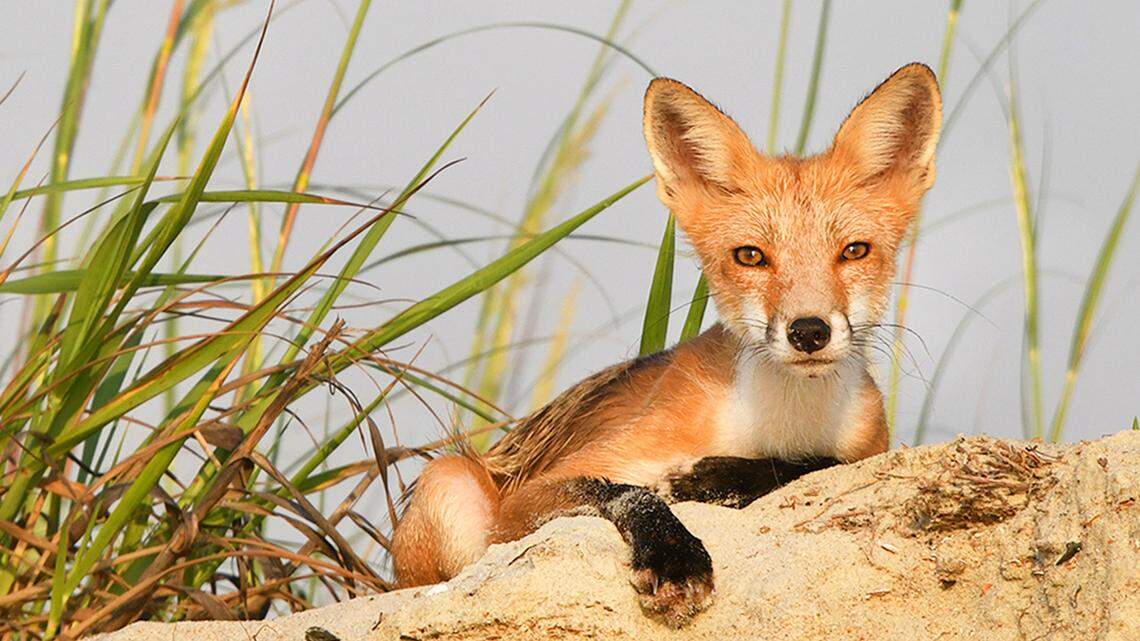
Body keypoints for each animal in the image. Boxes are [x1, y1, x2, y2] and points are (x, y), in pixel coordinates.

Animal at [391, 63, 942, 627]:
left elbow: (821, 463)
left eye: (854, 251)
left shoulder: (872, 445)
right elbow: (625, 491)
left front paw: (717, 477)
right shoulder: (525, 501)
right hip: (449, 482)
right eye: (750, 256)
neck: (779, 422)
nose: (809, 331)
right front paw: (673, 554)